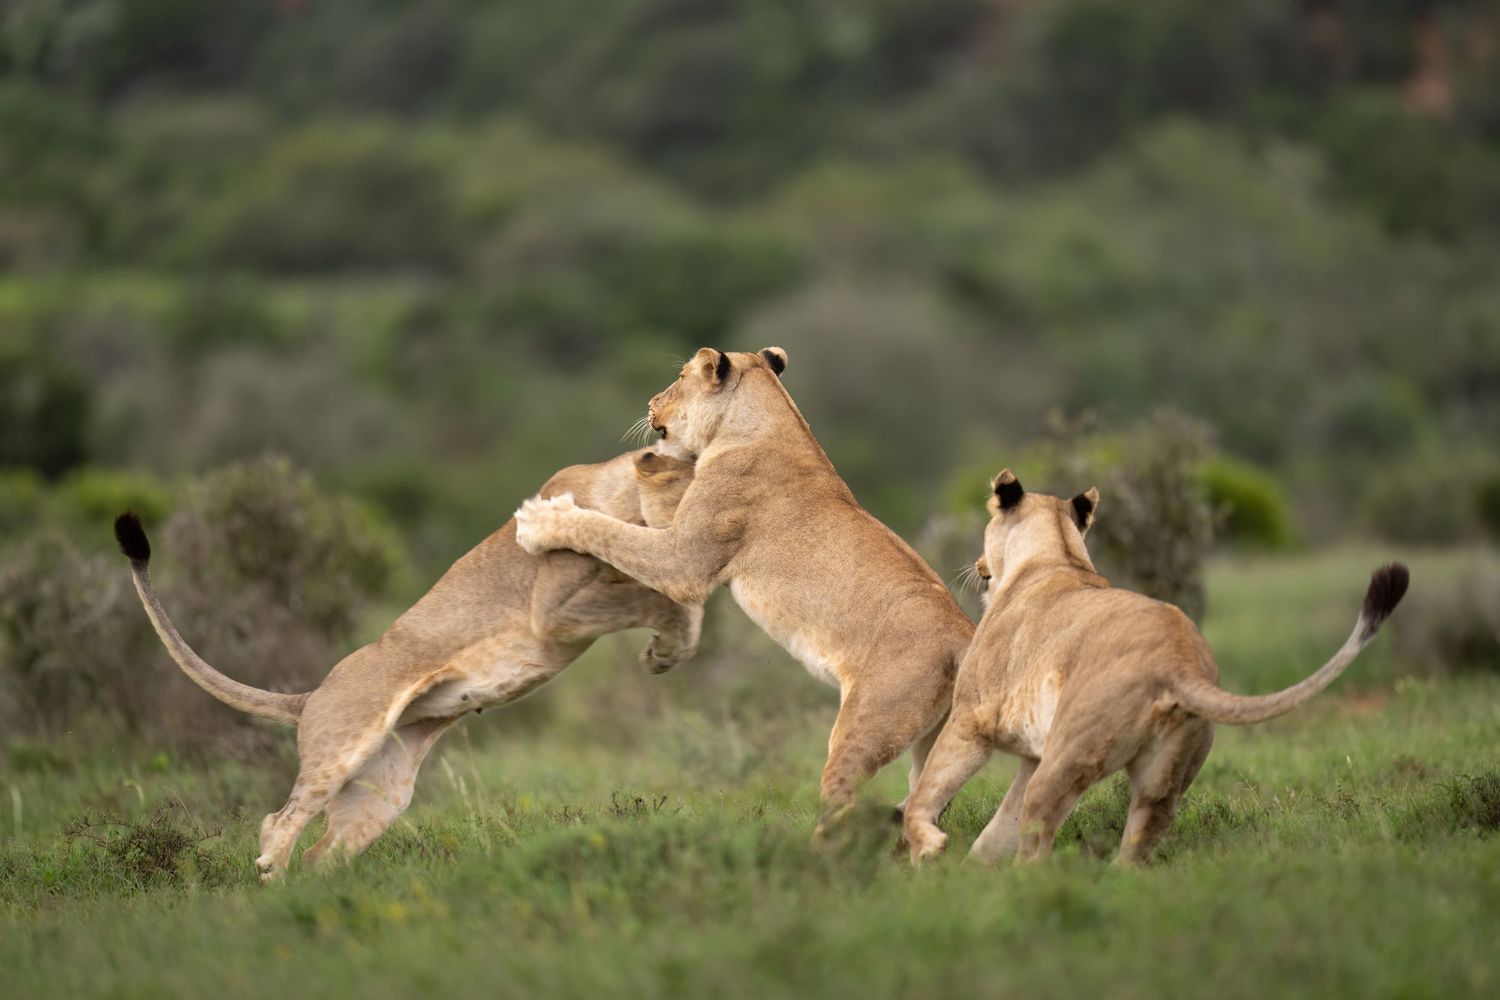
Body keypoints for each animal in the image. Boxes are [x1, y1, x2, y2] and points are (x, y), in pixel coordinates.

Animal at [115, 449, 700, 881]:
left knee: (322, 852)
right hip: (343, 750)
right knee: (277, 823)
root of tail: (311, 694)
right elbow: (646, 595)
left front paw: (669, 647)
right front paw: (667, 642)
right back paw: (275, 891)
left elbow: (659, 593)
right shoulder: (552, 610)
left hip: (381, 792)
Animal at [514, 347, 975, 830]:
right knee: (928, 800)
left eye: (680, 377)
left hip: (868, 722)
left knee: (842, 803)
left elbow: (607, 531)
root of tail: (965, 634)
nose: (651, 402)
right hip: (939, 740)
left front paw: (541, 521)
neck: (757, 421)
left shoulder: (683, 561)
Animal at [903, 469, 1409, 866]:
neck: (1057, 555)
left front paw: (929, 850)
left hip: (1067, 754)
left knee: (1039, 841)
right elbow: (997, 831)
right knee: (1137, 842)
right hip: (1160, 779)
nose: (978, 565)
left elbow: (926, 792)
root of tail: (1180, 663)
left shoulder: (972, 717)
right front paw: (971, 875)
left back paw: (1025, 893)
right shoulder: (1032, 754)